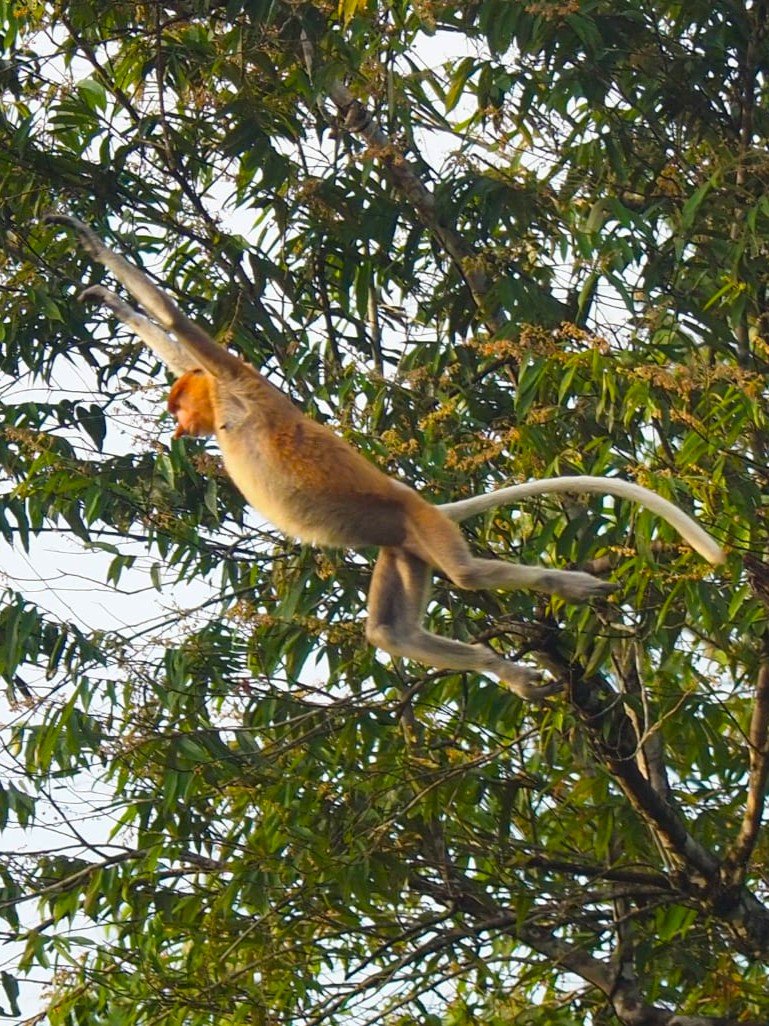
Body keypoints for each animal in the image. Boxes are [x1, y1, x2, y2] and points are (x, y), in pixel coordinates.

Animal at [45, 214, 725, 700]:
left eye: (179, 404)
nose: (179, 424)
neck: (228, 415)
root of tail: (421, 505)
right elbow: (165, 339)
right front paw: (105, 294)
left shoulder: (240, 383)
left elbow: (178, 324)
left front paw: (91, 245)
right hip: (404, 548)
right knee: (389, 631)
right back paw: (505, 670)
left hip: (418, 523)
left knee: (467, 576)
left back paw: (571, 588)